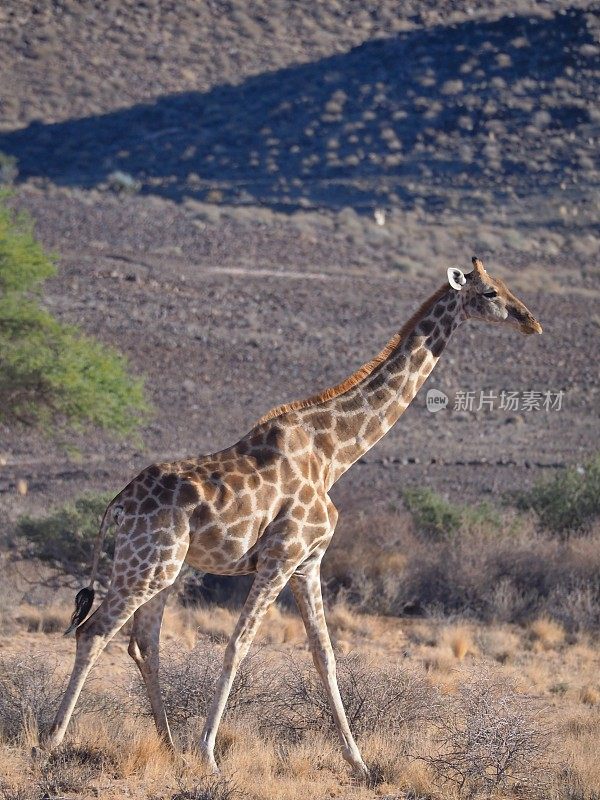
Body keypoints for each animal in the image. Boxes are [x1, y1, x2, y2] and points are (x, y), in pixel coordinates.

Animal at [45, 256, 544, 776]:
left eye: (504, 286)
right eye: (489, 292)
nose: (531, 321)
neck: (333, 455)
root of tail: (118, 503)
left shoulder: (309, 563)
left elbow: (325, 655)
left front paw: (359, 764)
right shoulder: (280, 558)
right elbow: (238, 645)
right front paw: (209, 755)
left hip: (164, 569)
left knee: (143, 643)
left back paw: (167, 745)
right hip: (147, 565)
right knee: (94, 631)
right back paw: (53, 740)